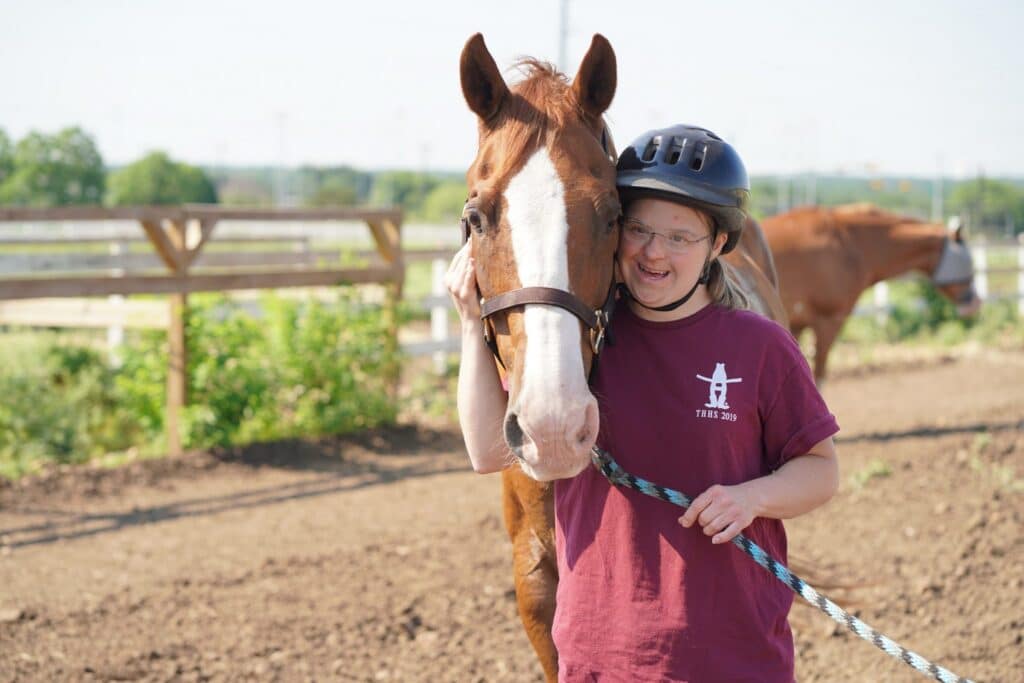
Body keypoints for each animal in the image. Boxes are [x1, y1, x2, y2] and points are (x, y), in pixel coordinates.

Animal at [762, 203, 981, 383]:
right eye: (968, 261)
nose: (975, 302)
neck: (847, 242)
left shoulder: (796, 325)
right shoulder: (829, 320)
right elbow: (819, 374)